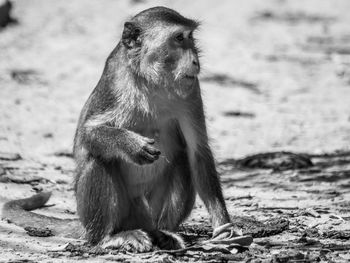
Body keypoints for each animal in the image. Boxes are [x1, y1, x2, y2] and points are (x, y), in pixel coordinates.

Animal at [2, 6, 252, 254]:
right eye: (179, 38)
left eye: (190, 37)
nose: (195, 60)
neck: (151, 81)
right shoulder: (114, 82)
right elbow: (86, 135)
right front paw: (130, 145)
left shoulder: (191, 90)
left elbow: (198, 151)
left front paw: (224, 229)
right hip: (122, 214)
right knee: (99, 159)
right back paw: (108, 238)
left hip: (148, 213)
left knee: (183, 161)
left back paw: (163, 233)